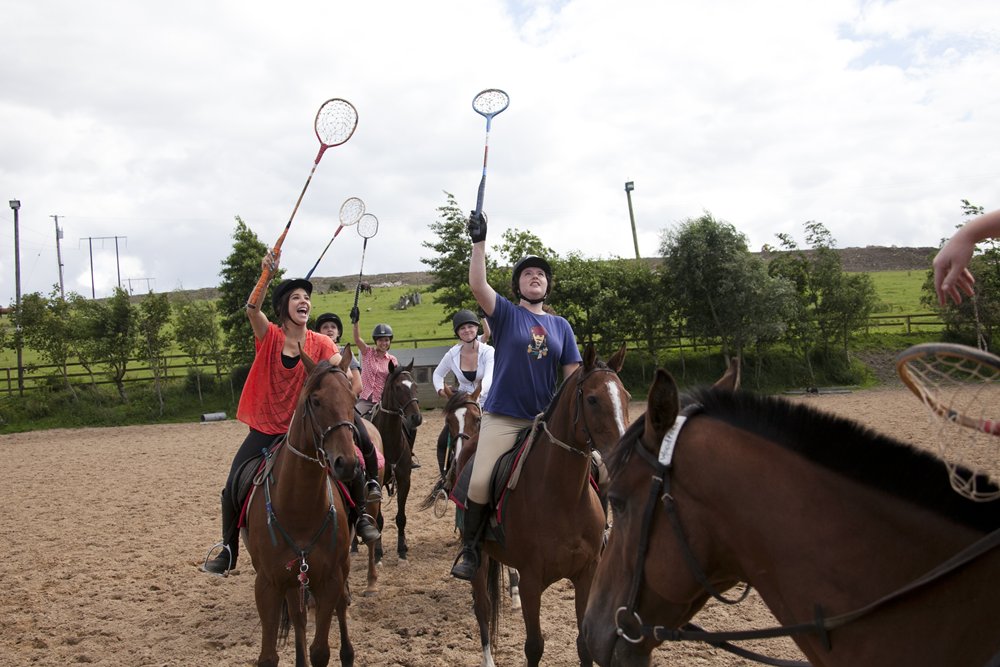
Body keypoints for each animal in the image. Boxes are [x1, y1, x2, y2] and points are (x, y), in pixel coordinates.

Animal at [242, 350, 368, 667]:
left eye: (352, 399)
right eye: (316, 400)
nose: (347, 463)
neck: (298, 509)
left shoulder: (329, 579)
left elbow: (321, 650)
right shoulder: (268, 585)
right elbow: (268, 656)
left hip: (338, 570)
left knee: (340, 607)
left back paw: (348, 654)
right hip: (293, 580)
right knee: (298, 617)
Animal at [458, 344, 624, 667]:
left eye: (625, 395)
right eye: (593, 399)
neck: (563, 497)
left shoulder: (586, 574)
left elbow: (584, 645)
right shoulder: (531, 582)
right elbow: (534, 646)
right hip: (478, 558)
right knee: (482, 608)